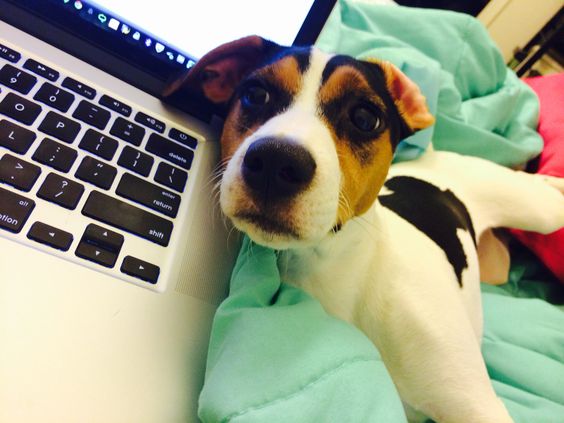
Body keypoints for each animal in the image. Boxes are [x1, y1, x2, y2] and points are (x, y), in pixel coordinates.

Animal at [165, 37, 564, 423]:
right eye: (255, 95)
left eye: (364, 117)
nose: (276, 160)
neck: (339, 269)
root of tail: (434, 156)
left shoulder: (474, 406)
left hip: (540, 211)